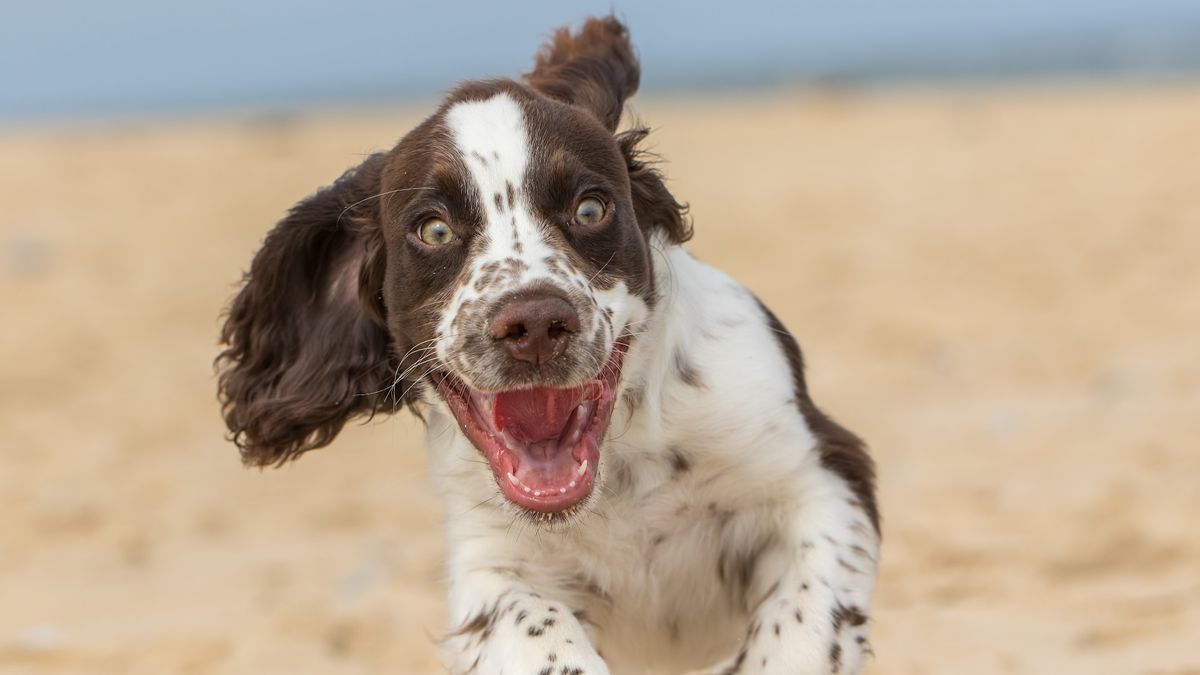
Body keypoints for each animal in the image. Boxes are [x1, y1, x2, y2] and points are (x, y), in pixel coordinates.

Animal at [220, 15, 883, 672]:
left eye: (590, 209)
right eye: (433, 230)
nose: (534, 323)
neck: (618, 479)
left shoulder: (821, 479)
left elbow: (800, 629)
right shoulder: (490, 566)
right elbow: (538, 630)